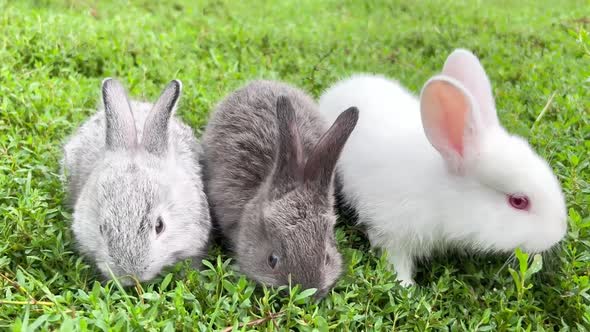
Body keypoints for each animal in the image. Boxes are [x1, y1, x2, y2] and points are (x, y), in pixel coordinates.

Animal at [322, 48, 572, 286]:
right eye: (518, 201)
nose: (560, 232)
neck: (440, 193)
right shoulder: (392, 232)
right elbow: (397, 262)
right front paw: (407, 287)